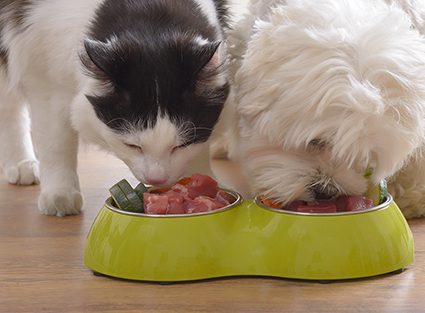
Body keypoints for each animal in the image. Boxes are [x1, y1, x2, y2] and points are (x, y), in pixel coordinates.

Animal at [0, 0, 229, 216]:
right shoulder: (45, 79)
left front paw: (202, 180)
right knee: (11, 110)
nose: (156, 179)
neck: (147, 10)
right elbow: (56, 144)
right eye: (132, 146)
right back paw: (22, 164)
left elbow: (200, 148)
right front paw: (60, 194)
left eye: (181, 146)